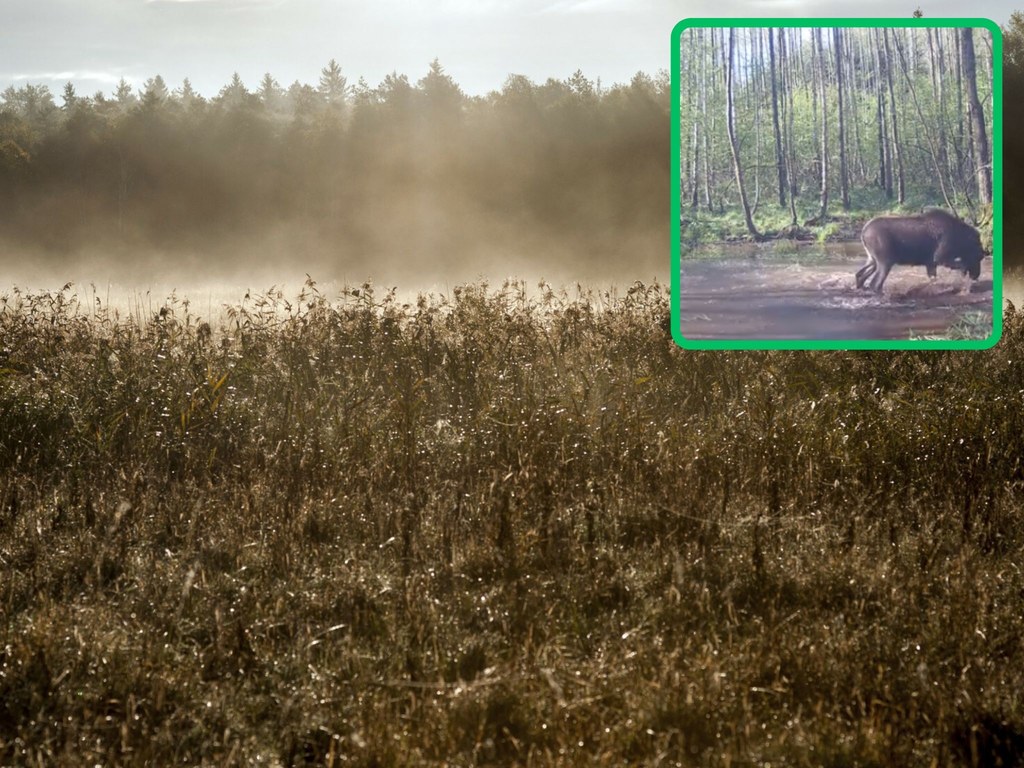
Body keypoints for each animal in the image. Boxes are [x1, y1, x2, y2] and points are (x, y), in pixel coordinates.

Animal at [851, 208, 987, 292]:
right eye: (980, 256)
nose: (976, 275)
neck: (960, 239)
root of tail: (863, 232)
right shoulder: (940, 257)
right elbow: (961, 265)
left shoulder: (931, 263)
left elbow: (934, 279)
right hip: (886, 261)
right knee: (875, 283)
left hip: (872, 259)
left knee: (860, 275)